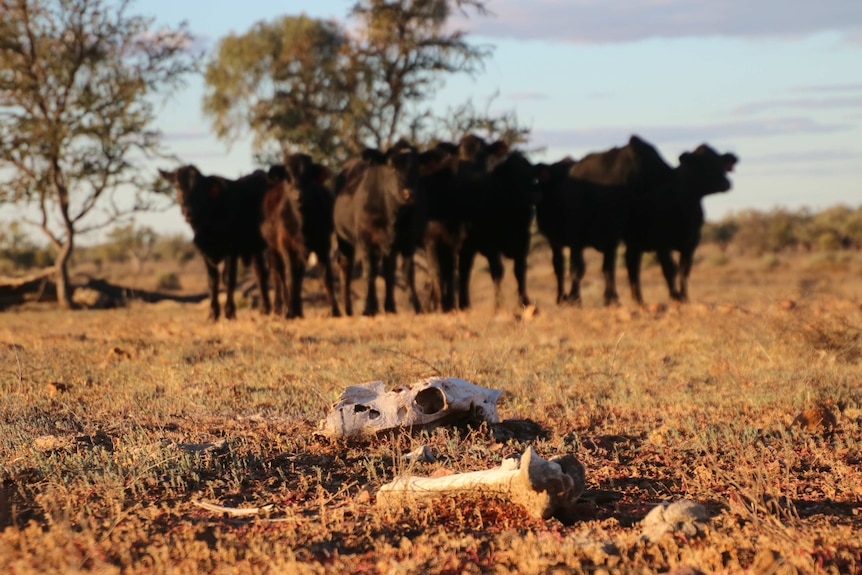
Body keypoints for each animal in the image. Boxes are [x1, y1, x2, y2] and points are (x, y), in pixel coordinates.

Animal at [159, 164, 272, 322]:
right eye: (177, 186)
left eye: (198, 188)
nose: (188, 211)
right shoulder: (205, 252)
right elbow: (212, 281)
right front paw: (213, 313)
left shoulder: (231, 251)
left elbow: (228, 279)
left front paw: (230, 312)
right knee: (260, 273)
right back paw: (265, 309)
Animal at [264, 154, 342, 320]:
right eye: (287, 177)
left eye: (308, 176)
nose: (298, 195)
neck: (302, 223)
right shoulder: (286, 246)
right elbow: (290, 278)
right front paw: (289, 312)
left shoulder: (323, 245)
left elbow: (326, 277)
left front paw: (335, 311)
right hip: (272, 250)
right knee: (278, 276)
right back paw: (280, 308)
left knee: (297, 276)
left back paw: (298, 310)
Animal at [334, 144, 422, 316]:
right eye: (392, 165)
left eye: (416, 166)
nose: (409, 193)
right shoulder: (365, 240)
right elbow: (369, 272)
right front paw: (368, 308)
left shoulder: (408, 241)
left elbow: (405, 272)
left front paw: (414, 306)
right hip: (344, 238)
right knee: (346, 265)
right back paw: (348, 309)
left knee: (386, 268)